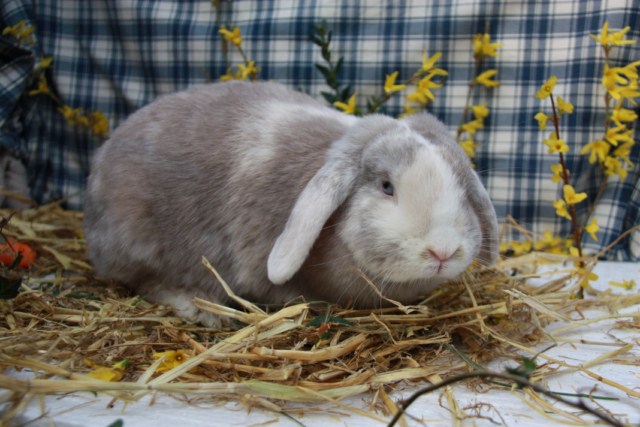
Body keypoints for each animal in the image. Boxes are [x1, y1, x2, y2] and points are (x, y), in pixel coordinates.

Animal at [82, 81, 498, 328]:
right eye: (386, 187)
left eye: (463, 187)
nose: (442, 251)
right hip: (137, 239)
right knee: (146, 282)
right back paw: (197, 307)